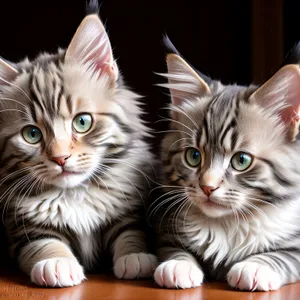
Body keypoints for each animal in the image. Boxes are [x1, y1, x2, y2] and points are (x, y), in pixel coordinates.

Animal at [0, 9, 157, 288]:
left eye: (82, 122)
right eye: (32, 134)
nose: (60, 158)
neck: (75, 193)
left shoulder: (130, 209)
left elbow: (130, 232)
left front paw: (136, 258)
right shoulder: (24, 230)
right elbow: (45, 245)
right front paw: (57, 264)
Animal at [152, 39, 300, 290]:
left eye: (241, 160)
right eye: (193, 156)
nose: (207, 187)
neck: (228, 224)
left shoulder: (296, 244)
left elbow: (281, 255)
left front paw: (254, 267)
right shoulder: (165, 233)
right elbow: (175, 250)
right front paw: (178, 266)